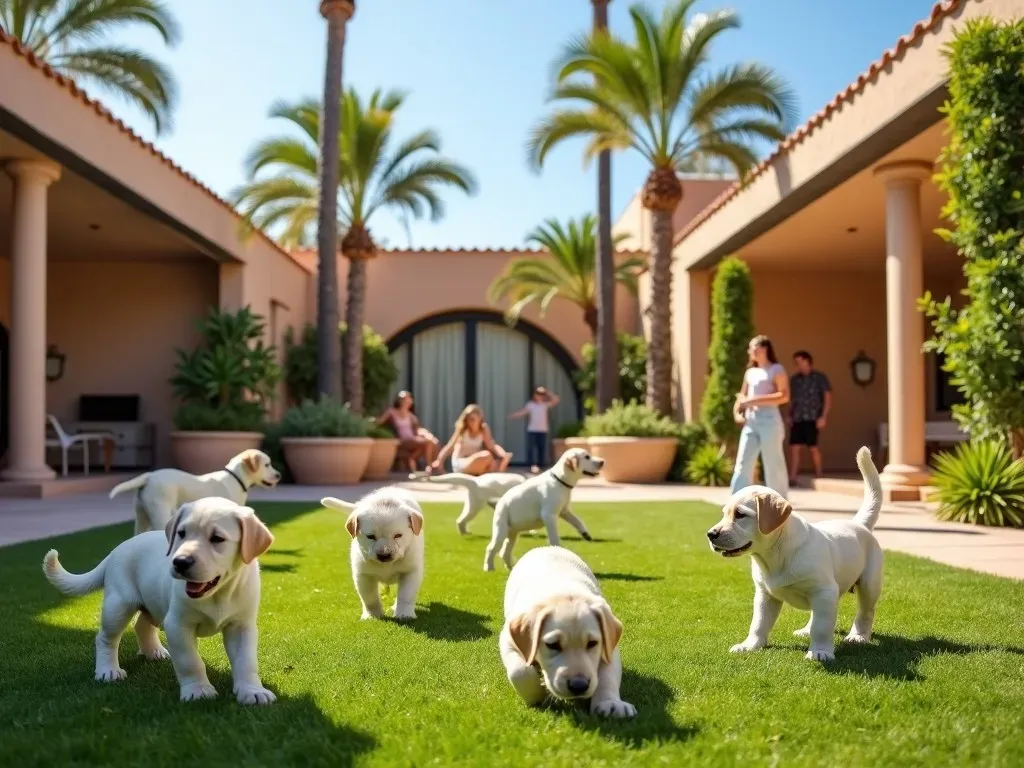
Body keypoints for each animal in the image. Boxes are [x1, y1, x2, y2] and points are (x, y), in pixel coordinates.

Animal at [43, 499, 276, 704]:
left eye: (217, 538)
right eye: (181, 534)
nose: (180, 562)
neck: (218, 594)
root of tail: (117, 550)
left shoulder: (241, 626)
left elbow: (246, 661)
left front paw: (252, 691)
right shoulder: (177, 625)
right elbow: (190, 661)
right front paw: (198, 691)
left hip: (151, 604)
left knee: (142, 625)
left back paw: (153, 652)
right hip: (119, 605)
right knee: (106, 638)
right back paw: (108, 670)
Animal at [111, 448, 284, 536]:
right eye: (267, 465)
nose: (279, 475)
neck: (235, 477)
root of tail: (149, 477)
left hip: (141, 518)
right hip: (160, 514)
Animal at [323, 489, 428, 622]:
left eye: (398, 535)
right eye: (371, 536)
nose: (384, 555)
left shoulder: (410, 572)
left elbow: (405, 595)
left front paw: (404, 614)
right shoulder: (363, 575)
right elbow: (370, 598)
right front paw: (372, 615)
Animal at [497, 548, 630, 716]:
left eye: (592, 643)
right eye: (552, 645)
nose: (579, 686)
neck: (562, 592)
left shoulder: (609, 646)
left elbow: (608, 675)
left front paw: (610, 703)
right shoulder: (508, 639)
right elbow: (520, 671)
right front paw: (538, 693)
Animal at [708, 448, 884, 663]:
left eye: (740, 515)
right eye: (724, 513)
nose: (710, 534)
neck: (774, 556)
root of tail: (859, 524)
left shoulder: (825, 591)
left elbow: (822, 628)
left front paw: (820, 651)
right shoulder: (765, 596)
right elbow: (758, 623)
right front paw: (749, 645)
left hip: (868, 584)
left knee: (865, 612)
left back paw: (858, 636)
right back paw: (806, 630)